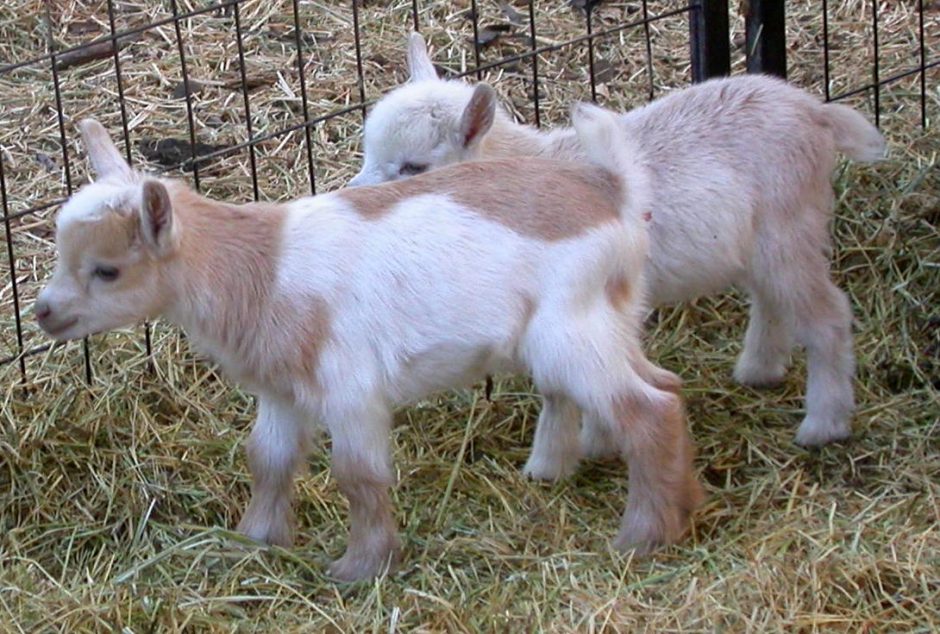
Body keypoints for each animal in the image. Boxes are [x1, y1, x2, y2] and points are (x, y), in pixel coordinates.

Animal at [35, 107, 703, 582]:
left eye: (107, 270)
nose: (44, 313)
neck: (260, 268)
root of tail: (610, 189)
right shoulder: (282, 391)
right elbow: (266, 459)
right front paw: (255, 540)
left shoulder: (350, 387)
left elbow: (357, 474)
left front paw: (361, 567)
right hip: (610, 316)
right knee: (667, 387)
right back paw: (684, 503)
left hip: (570, 330)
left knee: (648, 408)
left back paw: (641, 537)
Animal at [350, 32, 887, 452]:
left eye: (413, 166)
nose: (354, 196)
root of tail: (814, 112)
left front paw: (593, 442)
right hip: (762, 237)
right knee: (772, 298)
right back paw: (759, 369)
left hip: (789, 221)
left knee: (826, 314)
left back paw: (824, 424)